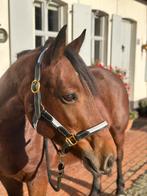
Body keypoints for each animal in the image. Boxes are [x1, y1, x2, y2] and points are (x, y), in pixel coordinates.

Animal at [0, 25, 129, 195]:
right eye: (69, 96)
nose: (108, 158)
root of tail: (115, 76)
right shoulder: (8, 180)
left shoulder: (38, 179)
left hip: (118, 135)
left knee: (120, 158)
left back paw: (120, 188)